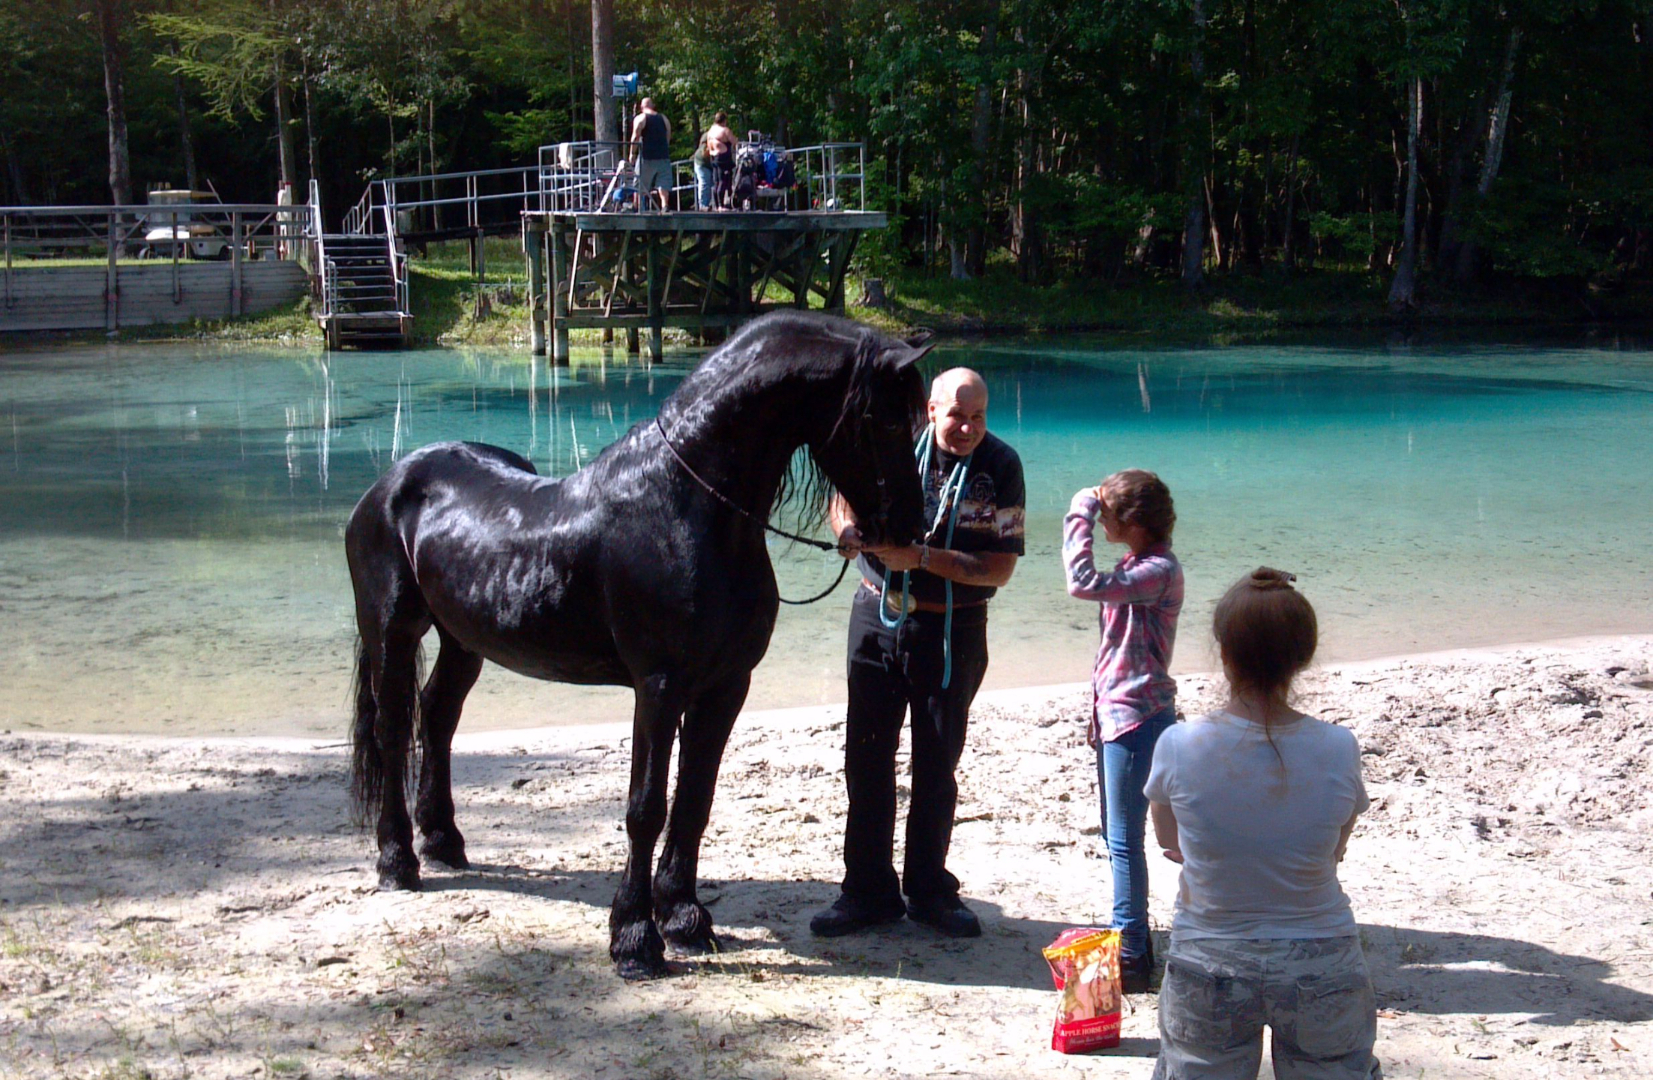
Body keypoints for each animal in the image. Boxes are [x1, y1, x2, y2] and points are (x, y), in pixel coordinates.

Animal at [345, 311, 931, 980]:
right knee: (394, 731)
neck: (684, 508)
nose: (912, 531)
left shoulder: (725, 687)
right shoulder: (658, 686)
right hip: (392, 631)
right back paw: (398, 861)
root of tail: (390, 483)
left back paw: (442, 841)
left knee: (437, 718)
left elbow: (695, 799)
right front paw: (634, 937)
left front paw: (684, 919)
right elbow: (646, 807)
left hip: (463, 640)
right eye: (888, 420)